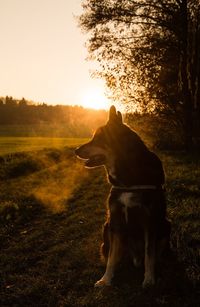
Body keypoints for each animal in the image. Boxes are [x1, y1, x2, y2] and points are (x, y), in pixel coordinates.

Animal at [75, 106, 170, 288]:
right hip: (106, 227)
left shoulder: (150, 220)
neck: (128, 177)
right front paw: (106, 279)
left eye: (98, 138)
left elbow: (150, 253)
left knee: (154, 254)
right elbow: (112, 257)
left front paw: (149, 279)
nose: (75, 151)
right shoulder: (116, 220)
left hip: (166, 224)